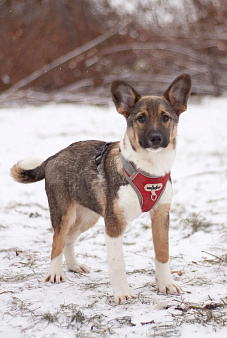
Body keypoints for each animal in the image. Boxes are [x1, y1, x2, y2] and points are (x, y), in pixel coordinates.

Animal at [10, 73, 192, 304]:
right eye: (141, 118)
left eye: (165, 117)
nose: (156, 138)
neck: (149, 167)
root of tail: (52, 157)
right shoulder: (113, 224)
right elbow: (117, 263)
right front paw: (122, 293)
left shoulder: (161, 215)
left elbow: (163, 253)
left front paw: (166, 284)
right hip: (64, 213)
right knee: (57, 241)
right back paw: (55, 273)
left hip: (89, 216)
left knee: (68, 240)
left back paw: (74, 266)